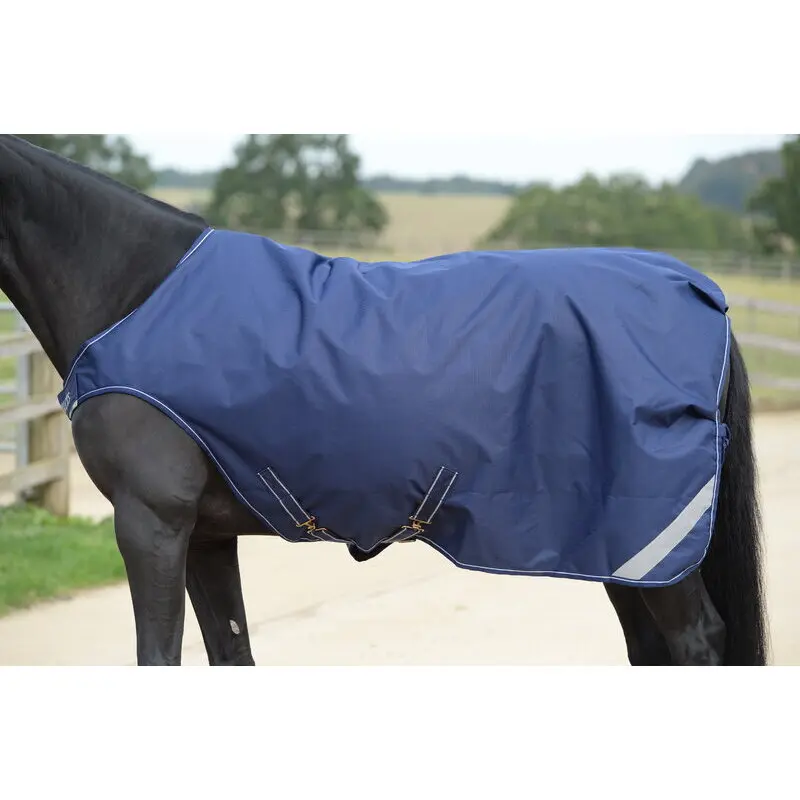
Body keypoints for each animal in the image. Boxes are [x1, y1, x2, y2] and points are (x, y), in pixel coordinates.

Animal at [0, 134, 767, 666]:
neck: (134, 291)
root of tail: (703, 293)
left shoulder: (151, 523)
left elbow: (157, 656)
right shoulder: (206, 534)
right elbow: (231, 652)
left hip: (650, 543)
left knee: (696, 641)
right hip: (614, 548)